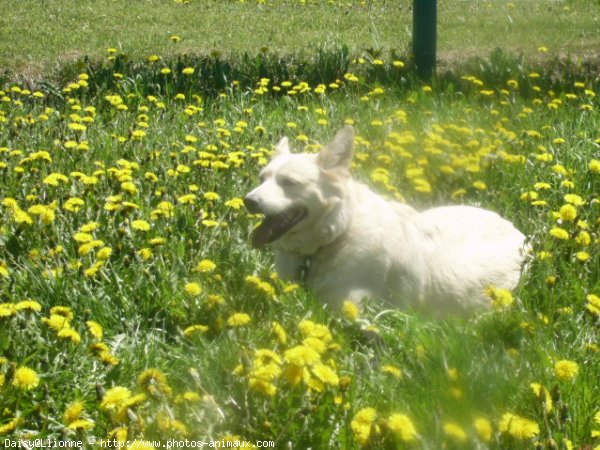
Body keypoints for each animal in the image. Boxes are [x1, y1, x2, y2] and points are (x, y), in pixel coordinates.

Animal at [244, 126, 524, 312]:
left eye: (289, 183)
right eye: (262, 178)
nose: (248, 201)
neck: (339, 233)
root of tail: (520, 235)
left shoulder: (347, 307)